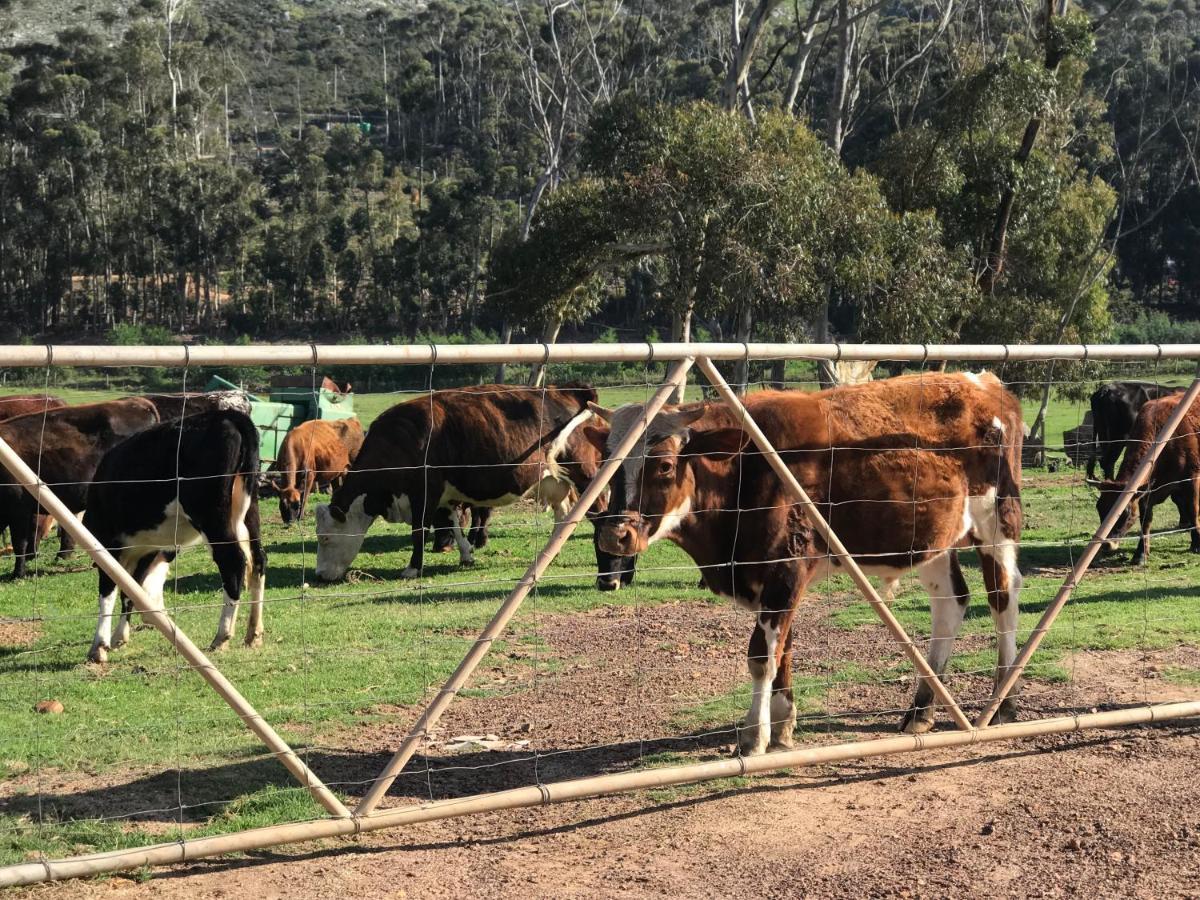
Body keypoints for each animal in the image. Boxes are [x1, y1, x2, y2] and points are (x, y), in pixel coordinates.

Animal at [85, 412, 268, 667]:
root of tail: (229, 416)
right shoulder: (148, 548)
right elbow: (131, 591)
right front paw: (120, 636)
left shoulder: (109, 544)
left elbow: (109, 591)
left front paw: (99, 645)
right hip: (249, 511)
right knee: (258, 560)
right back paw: (253, 633)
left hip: (211, 516)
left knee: (233, 562)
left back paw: (221, 636)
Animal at [316, 384, 604, 580]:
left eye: (326, 538)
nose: (319, 575)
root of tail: (570, 391)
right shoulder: (441, 496)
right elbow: (452, 524)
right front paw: (466, 554)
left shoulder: (424, 493)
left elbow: (419, 531)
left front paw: (413, 568)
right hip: (554, 481)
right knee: (564, 515)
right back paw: (550, 552)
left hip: (583, 474)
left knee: (601, 510)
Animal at [590, 369, 1022, 758]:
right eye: (606, 462)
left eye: (664, 465)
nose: (615, 535)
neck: (744, 470)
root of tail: (985, 382)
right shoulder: (772, 579)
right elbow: (783, 648)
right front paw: (783, 725)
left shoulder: (787, 567)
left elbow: (761, 656)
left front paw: (755, 735)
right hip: (934, 538)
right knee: (951, 603)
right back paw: (921, 710)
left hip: (996, 521)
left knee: (1003, 598)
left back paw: (1003, 703)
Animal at [1089, 393, 1200, 564]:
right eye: (1099, 508)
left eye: (1124, 513)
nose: (1106, 545)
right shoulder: (1146, 492)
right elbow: (1145, 521)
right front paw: (1140, 553)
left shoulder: (1191, 479)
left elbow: (1193, 511)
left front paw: (1197, 544)